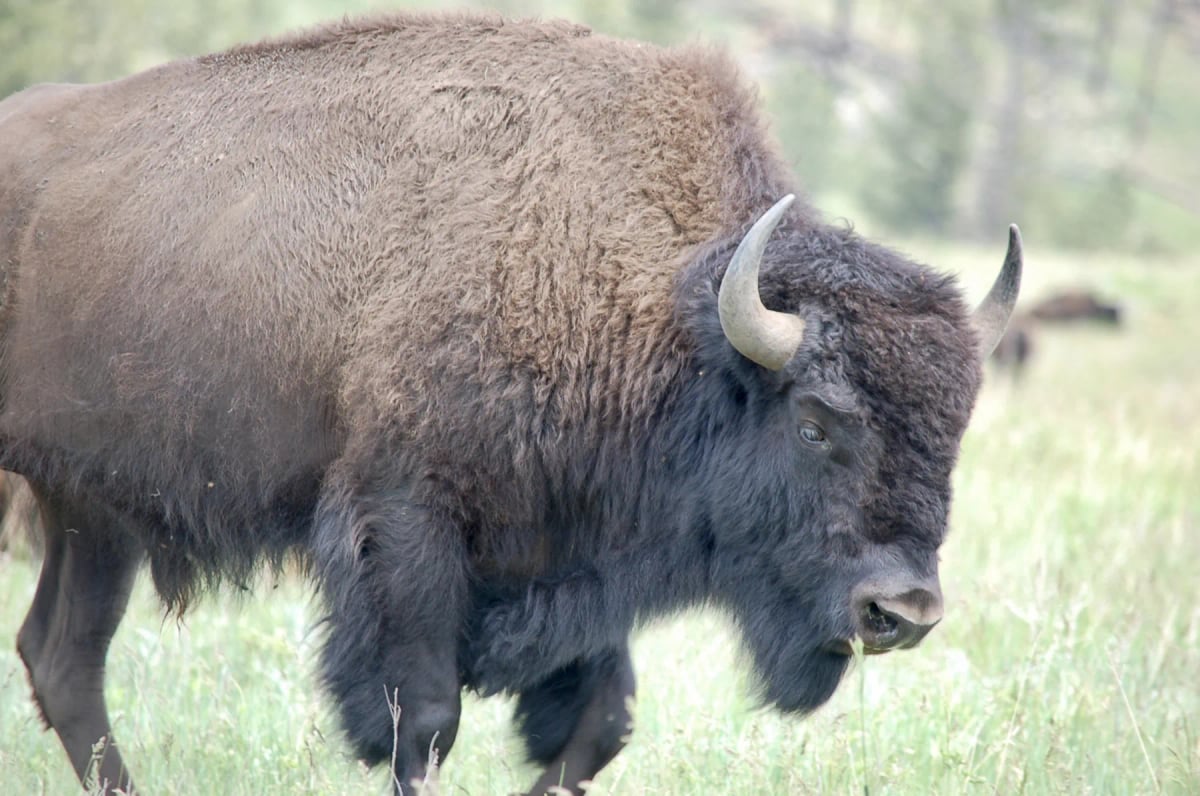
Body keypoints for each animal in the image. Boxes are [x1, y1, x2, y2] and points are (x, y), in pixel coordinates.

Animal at [0, 13, 1021, 795]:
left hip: (91, 510)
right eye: (814, 422)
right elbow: (424, 721)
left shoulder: (580, 557)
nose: (904, 612)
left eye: (955, 432)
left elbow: (599, 724)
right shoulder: (407, 529)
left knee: (64, 656)